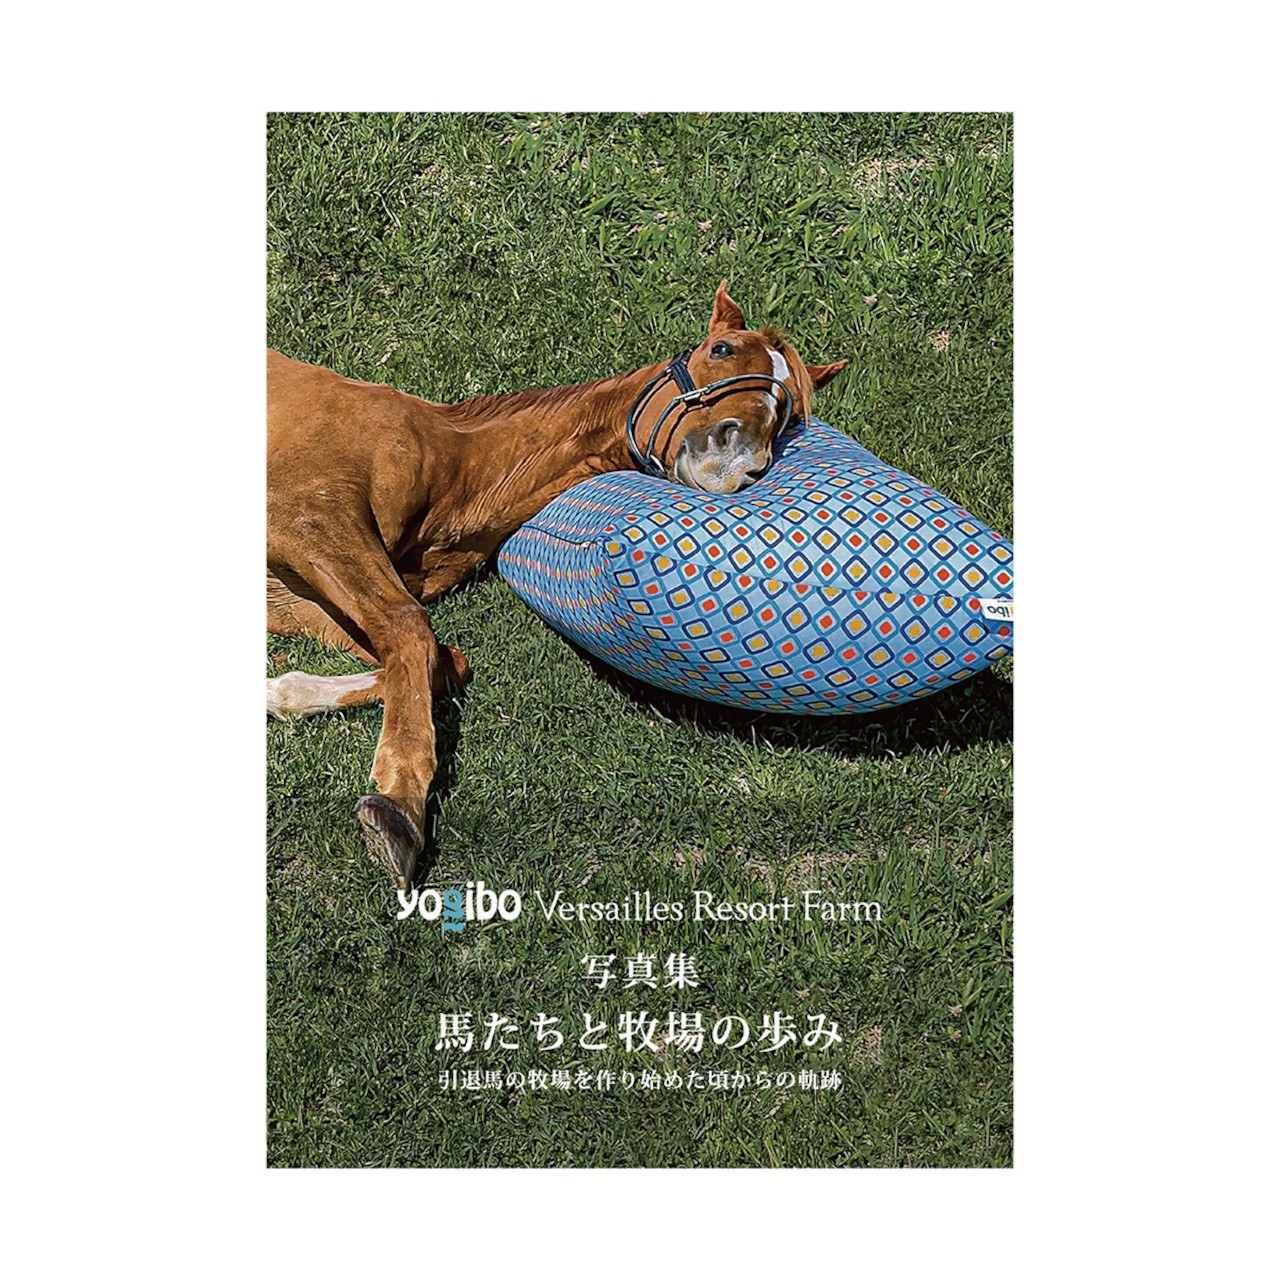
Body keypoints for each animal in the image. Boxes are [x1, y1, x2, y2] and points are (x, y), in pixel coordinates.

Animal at [267, 282, 847, 889]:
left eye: (786, 412)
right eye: (722, 349)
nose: (740, 461)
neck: (451, 465)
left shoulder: (301, 600)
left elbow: (440, 660)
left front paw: (280, 694)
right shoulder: (309, 522)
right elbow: (413, 633)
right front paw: (399, 807)